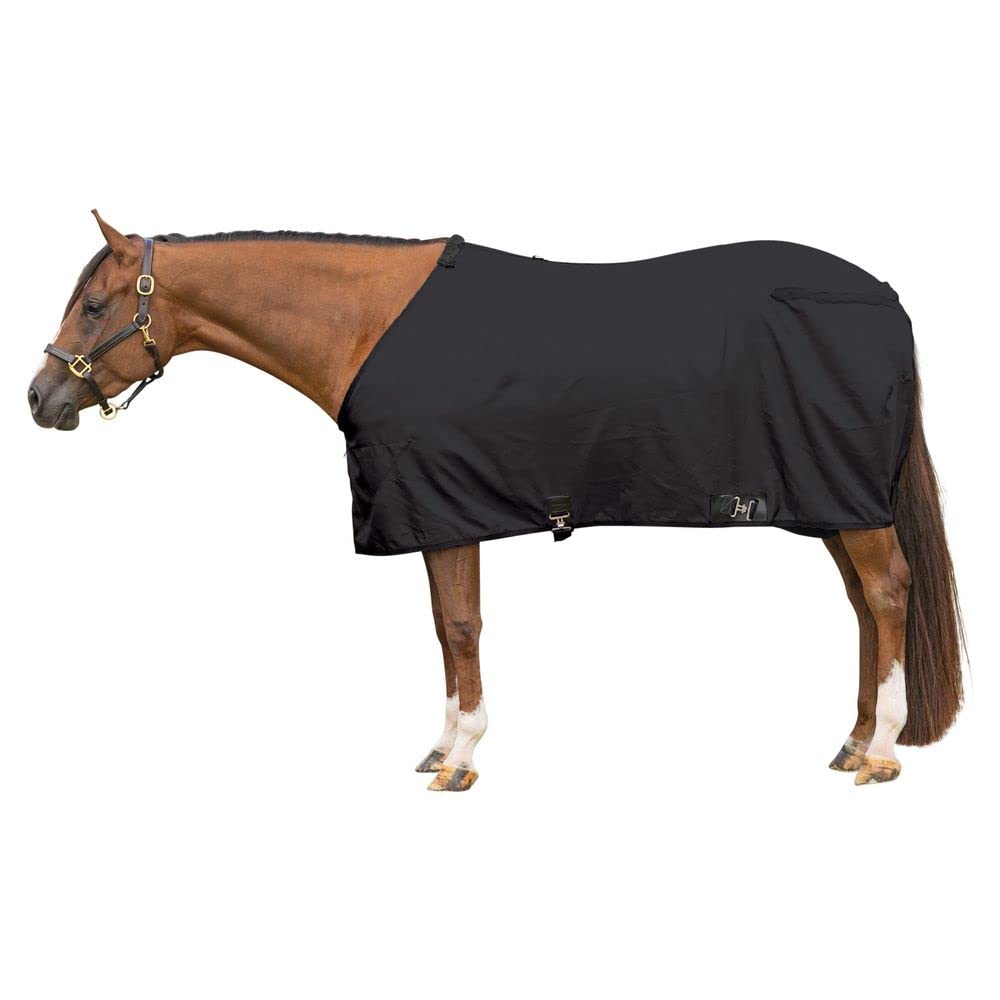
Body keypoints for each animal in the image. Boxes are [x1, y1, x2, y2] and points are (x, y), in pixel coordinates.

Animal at [28, 211, 964, 791]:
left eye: (97, 305)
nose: (40, 399)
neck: (366, 324)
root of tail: (884, 297)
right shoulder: (436, 509)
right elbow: (444, 629)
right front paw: (442, 745)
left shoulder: (446, 507)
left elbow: (460, 626)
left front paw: (461, 757)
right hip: (833, 504)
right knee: (864, 604)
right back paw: (854, 740)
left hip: (852, 504)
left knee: (887, 593)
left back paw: (882, 751)